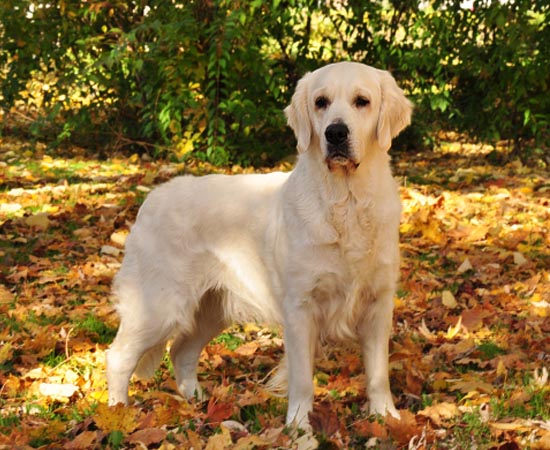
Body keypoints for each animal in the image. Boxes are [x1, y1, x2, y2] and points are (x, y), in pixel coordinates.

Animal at [106, 61, 414, 428]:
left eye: (362, 101)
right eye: (321, 102)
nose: (335, 133)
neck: (346, 201)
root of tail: (149, 200)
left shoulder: (378, 302)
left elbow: (378, 372)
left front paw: (386, 417)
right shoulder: (300, 307)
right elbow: (302, 378)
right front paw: (299, 427)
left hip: (211, 308)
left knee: (181, 351)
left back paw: (198, 401)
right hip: (160, 305)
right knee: (118, 356)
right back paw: (116, 414)